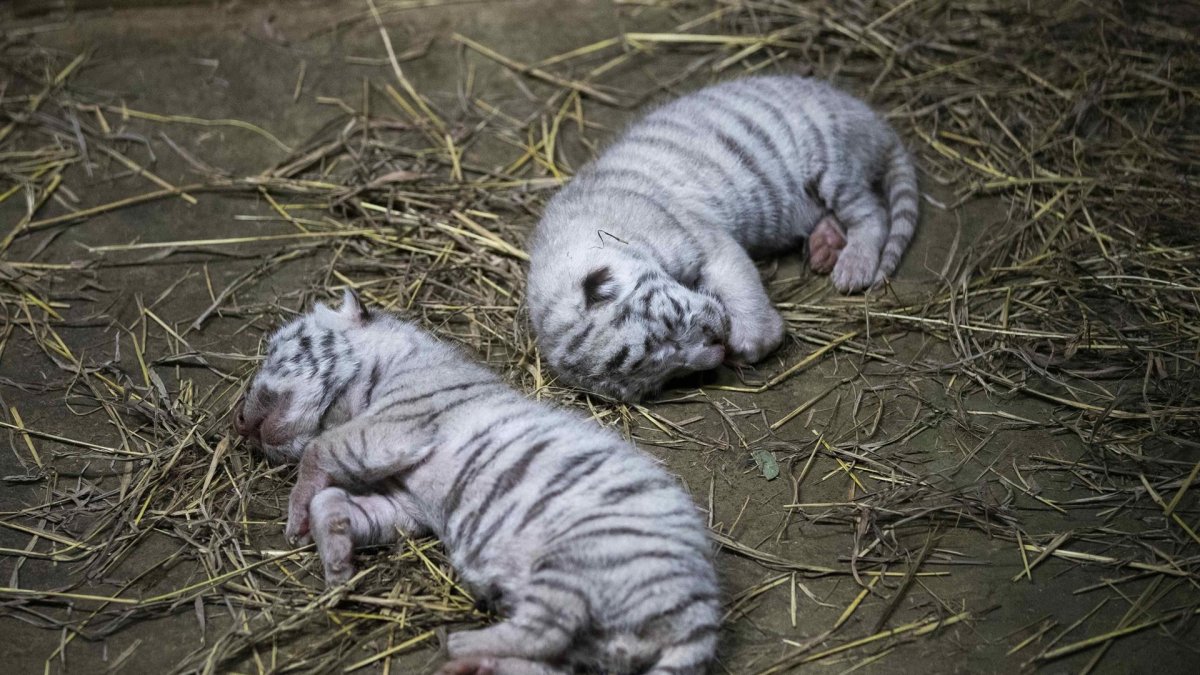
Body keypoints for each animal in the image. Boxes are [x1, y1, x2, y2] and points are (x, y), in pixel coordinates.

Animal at [233, 291, 720, 675]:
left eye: (276, 349)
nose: (236, 422)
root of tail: (701, 612)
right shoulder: (403, 503)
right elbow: (334, 498)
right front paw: (335, 560)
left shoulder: (393, 427)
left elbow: (317, 451)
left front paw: (296, 519)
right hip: (600, 640)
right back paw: (476, 663)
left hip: (580, 557)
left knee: (546, 629)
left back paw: (458, 645)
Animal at [527, 75, 919, 402]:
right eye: (663, 375)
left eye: (668, 327)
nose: (716, 350)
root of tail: (872, 120)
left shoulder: (708, 242)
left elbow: (743, 291)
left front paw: (753, 340)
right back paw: (825, 247)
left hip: (832, 165)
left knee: (872, 213)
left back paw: (854, 267)